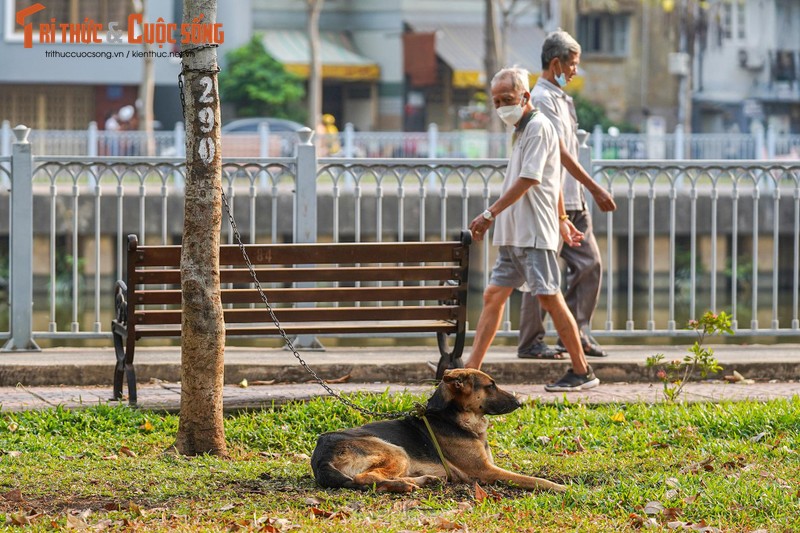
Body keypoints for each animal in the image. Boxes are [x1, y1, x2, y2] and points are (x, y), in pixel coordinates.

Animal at [310, 368, 564, 492]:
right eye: (491, 386)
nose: (520, 402)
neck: (454, 418)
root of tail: (321, 456)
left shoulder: (490, 466)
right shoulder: (485, 471)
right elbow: (532, 479)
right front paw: (559, 487)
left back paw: (422, 481)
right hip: (396, 450)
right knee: (366, 477)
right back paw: (405, 485)